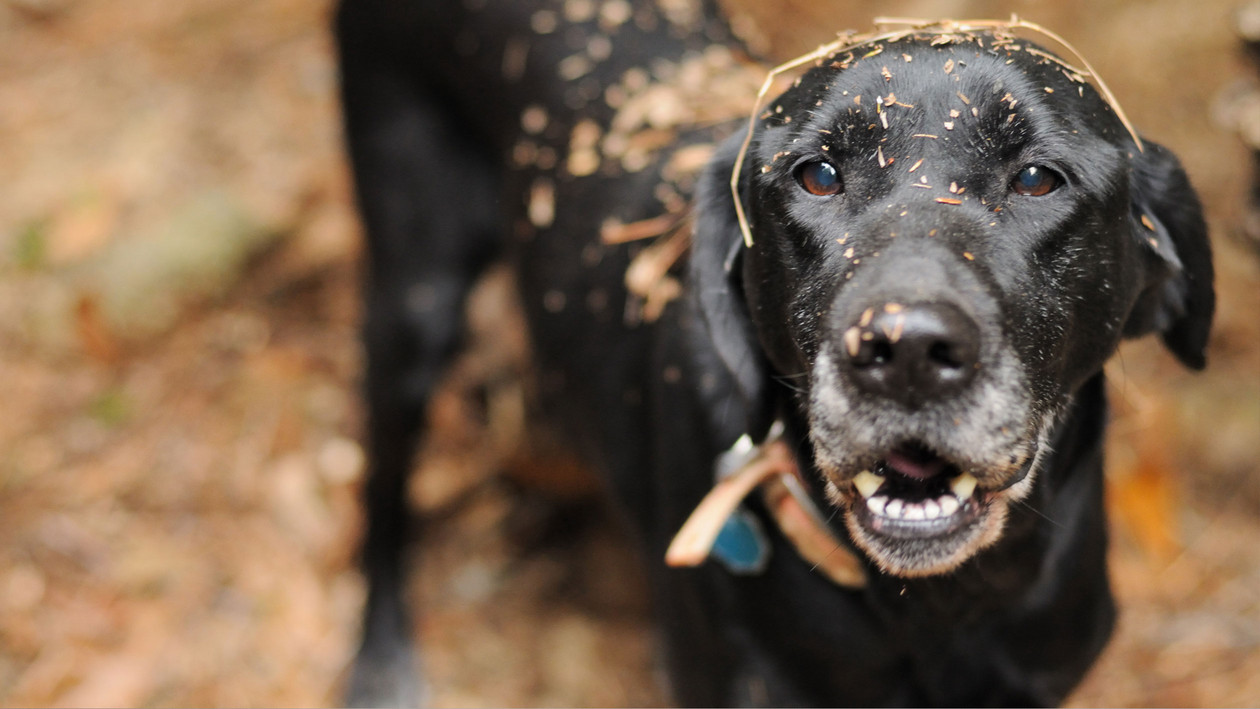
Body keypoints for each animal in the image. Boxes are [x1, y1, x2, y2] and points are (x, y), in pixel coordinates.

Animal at [335, 2, 1209, 705]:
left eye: (1036, 179)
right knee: (381, 492)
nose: (905, 351)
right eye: (816, 176)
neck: (937, 612)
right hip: (415, 300)